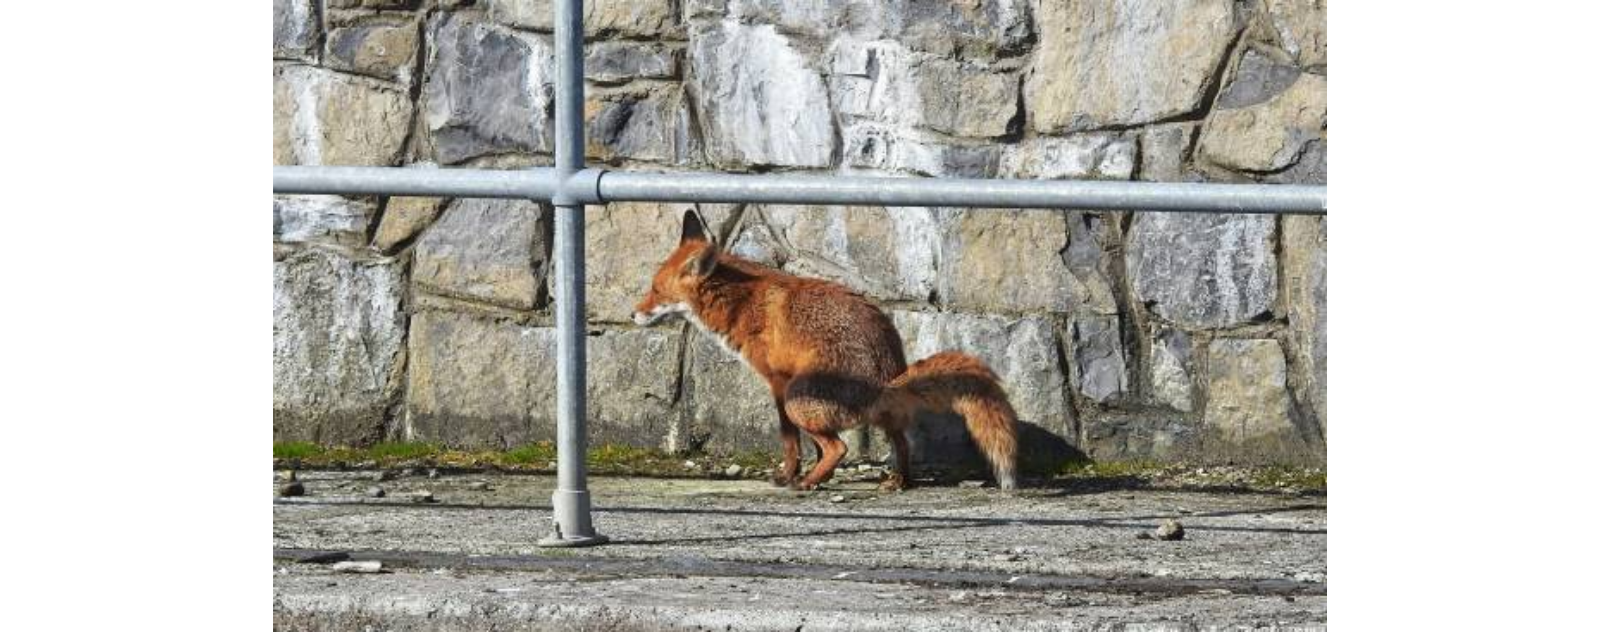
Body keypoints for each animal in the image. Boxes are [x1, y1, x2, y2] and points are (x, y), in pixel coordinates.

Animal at [632, 209, 1019, 491]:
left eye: (655, 290)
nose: (633, 314)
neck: (743, 303)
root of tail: (887, 379)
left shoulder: (778, 382)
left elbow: (790, 441)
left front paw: (789, 475)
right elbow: (812, 447)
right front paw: (819, 474)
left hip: (798, 397)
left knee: (840, 447)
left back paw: (807, 483)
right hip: (872, 411)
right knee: (899, 440)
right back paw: (898, 481)